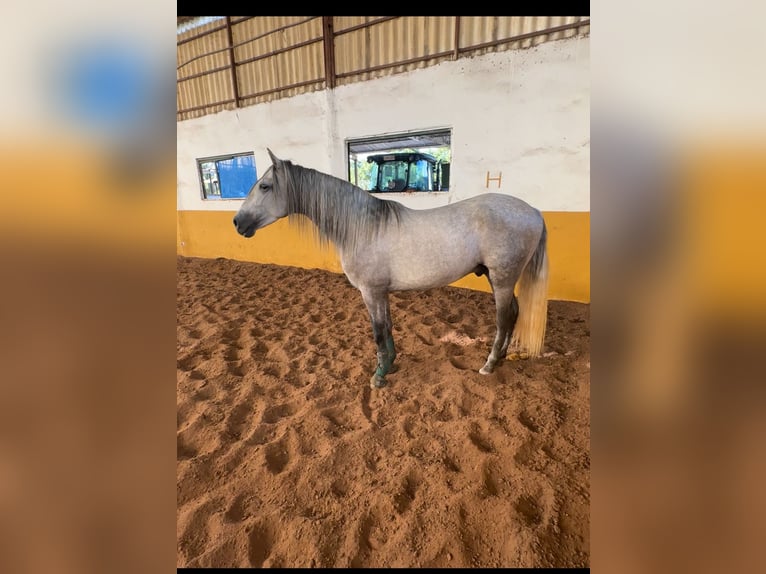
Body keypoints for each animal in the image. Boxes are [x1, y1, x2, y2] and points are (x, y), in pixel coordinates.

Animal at [234, 150, 552, 392]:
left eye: (265, 186)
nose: (238, 222)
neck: (363, 227)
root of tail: (535, 212)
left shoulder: (370, 292)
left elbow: (377, 332)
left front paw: (378, 377)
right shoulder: (381, 292)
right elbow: (387, 327)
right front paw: (390, 364)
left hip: (502, 278)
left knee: (503, 318)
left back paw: (489, 364)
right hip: (497, 277)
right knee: (513, 313)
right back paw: (502, 357)